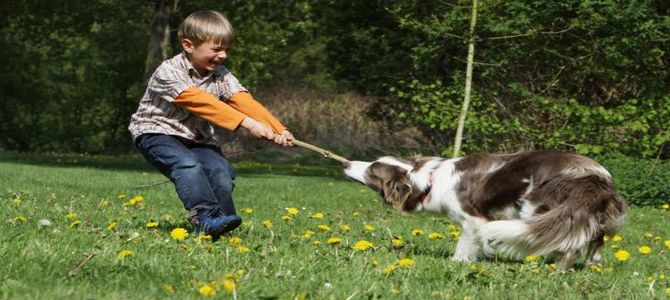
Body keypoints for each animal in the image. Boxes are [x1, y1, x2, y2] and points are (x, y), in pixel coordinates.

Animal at [346, 150, 632, 270]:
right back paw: (590, 268)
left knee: (569, 245)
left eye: (372, 169)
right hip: (595, 216)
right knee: (594, 243)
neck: (427, 180)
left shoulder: (475, 218)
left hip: (537, 208)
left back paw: (556, 270)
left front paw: (458, 263)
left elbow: (465, 245)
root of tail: (591, 177)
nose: (346, 164)